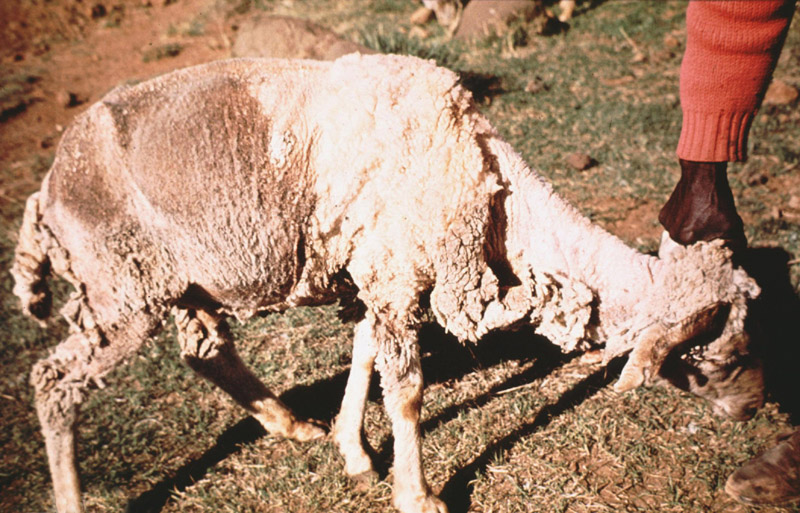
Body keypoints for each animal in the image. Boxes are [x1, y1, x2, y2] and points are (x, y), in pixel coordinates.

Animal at [11, 53, 762, 513]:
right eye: (713, 348)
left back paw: (291, 424)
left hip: (176, 280)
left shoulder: (379, 267)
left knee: (204, 351)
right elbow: (405, 389)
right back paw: (72, 496)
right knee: (54, 380)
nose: (752, 409)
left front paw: (351, 449)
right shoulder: (400, 268)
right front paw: (417, 493)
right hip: (118, 286)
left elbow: (366, 353)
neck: (497, 192)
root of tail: (48, 189)